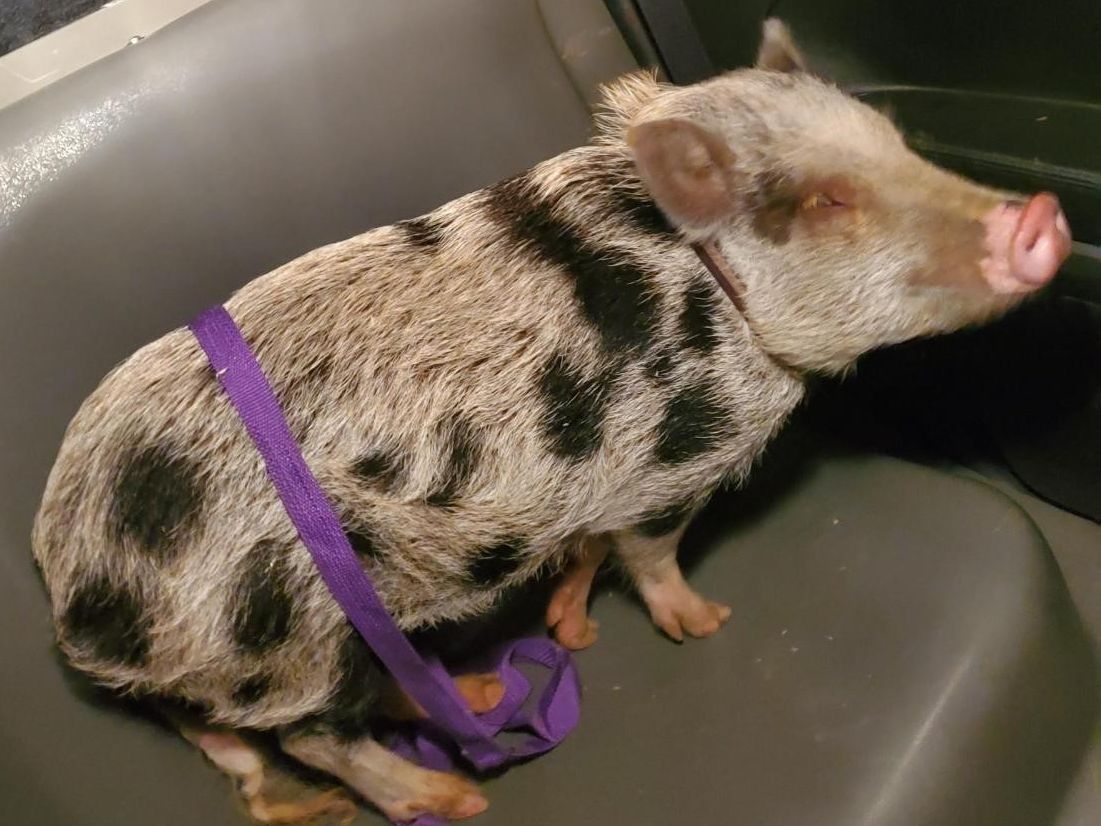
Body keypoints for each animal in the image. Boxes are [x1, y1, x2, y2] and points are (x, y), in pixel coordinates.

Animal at [31, 18, 1071, 824]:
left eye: (896, 146)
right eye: (825, 200)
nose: (1040, 216)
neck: (717, 291)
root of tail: (69, 581)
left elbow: (587, 549)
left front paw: (574, 633)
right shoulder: (674, 461)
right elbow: (648, 554)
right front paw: (706, 624)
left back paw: (479, 695)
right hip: (284, 639)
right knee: (311, 736)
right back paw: (450, 797)